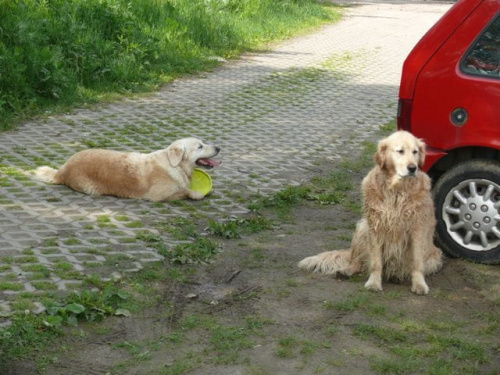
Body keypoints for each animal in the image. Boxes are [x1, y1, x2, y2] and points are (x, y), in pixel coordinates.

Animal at [35, 137, 221, 201]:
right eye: (200, 146)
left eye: (203, 143)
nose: (219, 147)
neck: (176, 166)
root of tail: (62, 169)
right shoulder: (158, 196)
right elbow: (184, 190)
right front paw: (196, 193)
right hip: (91, 188)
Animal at [296, 131, 442, 296]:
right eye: (400, 151)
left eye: (415, 152)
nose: (413, 168)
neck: (397, 190)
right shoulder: (376, 227)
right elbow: (376, 262)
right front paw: (373, 282)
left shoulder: (417, 229)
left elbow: (417, 262)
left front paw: (419, 284)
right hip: (362, 228)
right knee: (357, 262)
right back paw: (346, 271)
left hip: (434, 257)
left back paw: (397, 277)